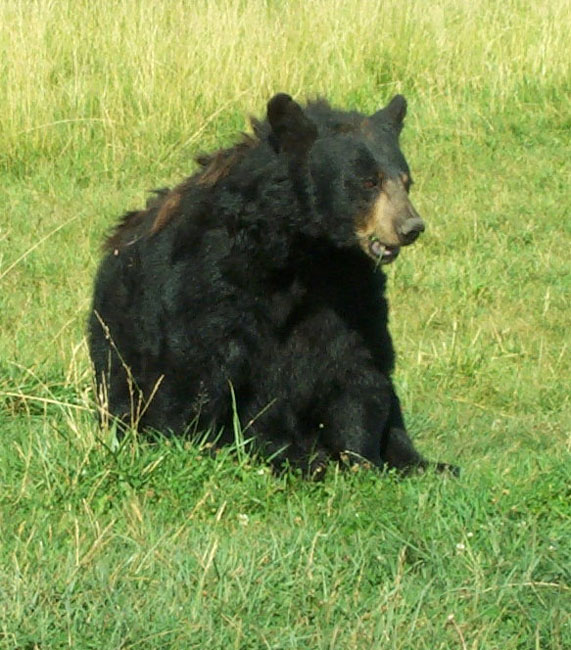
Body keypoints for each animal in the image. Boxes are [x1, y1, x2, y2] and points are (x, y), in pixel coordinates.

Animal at [88, 92, 457, 477]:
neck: (302, 251)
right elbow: (202, 371)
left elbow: (358, 367)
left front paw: (362, 459)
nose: (410, 226)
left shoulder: (350, 288)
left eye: (406, 181)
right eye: (369, 181)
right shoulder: (215, 279)